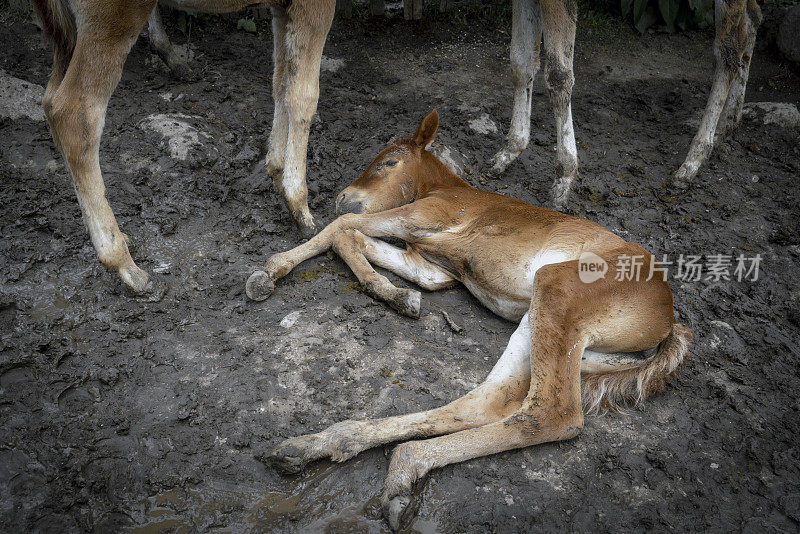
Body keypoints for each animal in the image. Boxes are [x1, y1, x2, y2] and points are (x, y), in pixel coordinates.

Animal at [247, 111, 692, 528]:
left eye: (389, 161)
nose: (343, 196)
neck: (447, 189)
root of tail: (668, 324)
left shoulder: (423, 216)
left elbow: (340, 228)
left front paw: (269, 272)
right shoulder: (435, 268)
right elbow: (353, 239)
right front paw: (398, 296)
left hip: (559, 290)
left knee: (551, 414)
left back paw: (393, 465)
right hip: (544, 324)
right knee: (485, 404)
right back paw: (345, 455)